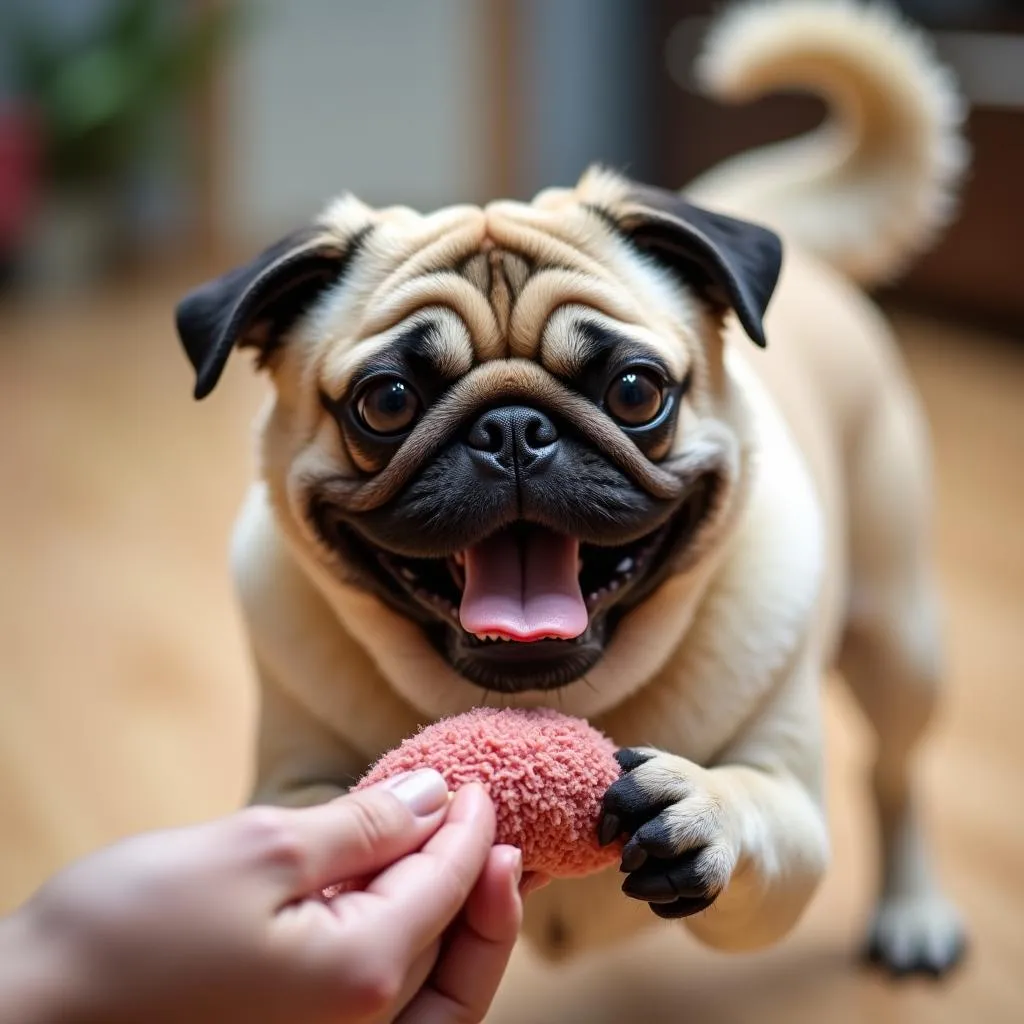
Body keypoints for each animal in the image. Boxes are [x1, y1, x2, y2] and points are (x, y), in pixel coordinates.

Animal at [176, 0, 966, 974]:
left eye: (635, 391)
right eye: (386, 403)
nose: (513, 430)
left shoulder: (794, 823)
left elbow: (761, 809)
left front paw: (702, 802)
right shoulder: (286, 777)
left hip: (899, 643)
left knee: (895, 775)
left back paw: (914, 908)